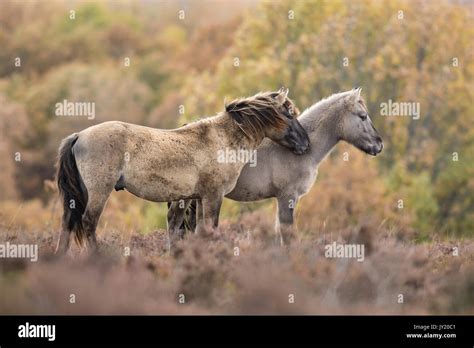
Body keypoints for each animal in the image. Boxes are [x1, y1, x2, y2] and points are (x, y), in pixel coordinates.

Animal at [55, 87, 312, 253]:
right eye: (289, 114)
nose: (306, 145)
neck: (222, 139)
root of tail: (79, 136)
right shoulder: (212, 197)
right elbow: (210, 228)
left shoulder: (195, 198)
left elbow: (195, 230)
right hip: (99, 191)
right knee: (88, 223)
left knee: (68, 224)